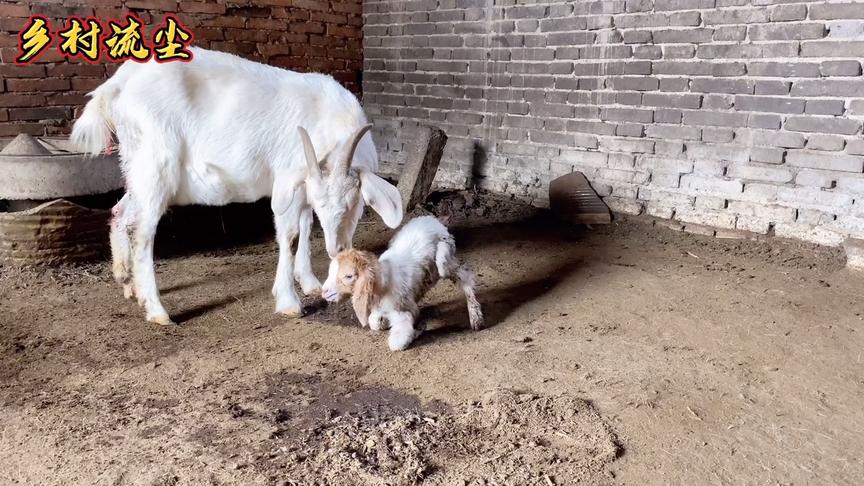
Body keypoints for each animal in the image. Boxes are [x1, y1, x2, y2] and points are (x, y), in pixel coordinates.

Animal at [71, 47, 402, 324]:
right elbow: (291, 235)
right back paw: (156, 309)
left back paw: (127, 283)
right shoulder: (290, 178)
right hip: (156, 166)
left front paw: (309, 282)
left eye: (354, 203)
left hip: (136, 166)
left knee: (120, 211)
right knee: (143, 231)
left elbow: (307, 226)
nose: (337, 249)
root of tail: (117, 85)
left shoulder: (305, 186)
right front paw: (288, 300)